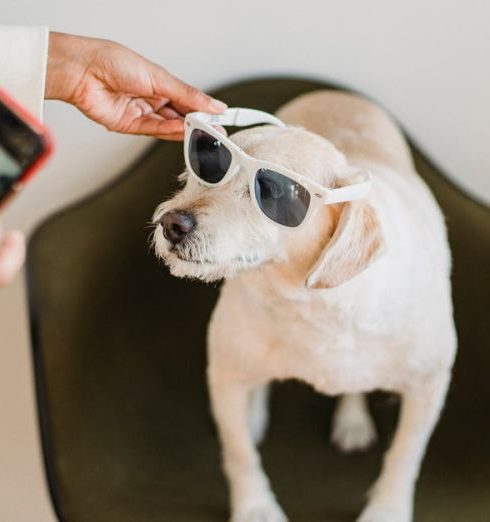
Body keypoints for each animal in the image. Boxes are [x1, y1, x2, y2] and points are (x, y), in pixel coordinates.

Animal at [152, 90, 456, 520]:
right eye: (207, 164)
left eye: (273, 193)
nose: (172, 224)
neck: (311, 304)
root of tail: (335, 92)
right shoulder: (225, 375)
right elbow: (239, 452)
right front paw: (255, 507)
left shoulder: (428, 387)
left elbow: (404, 457)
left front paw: (387, 510)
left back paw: (352, 419)